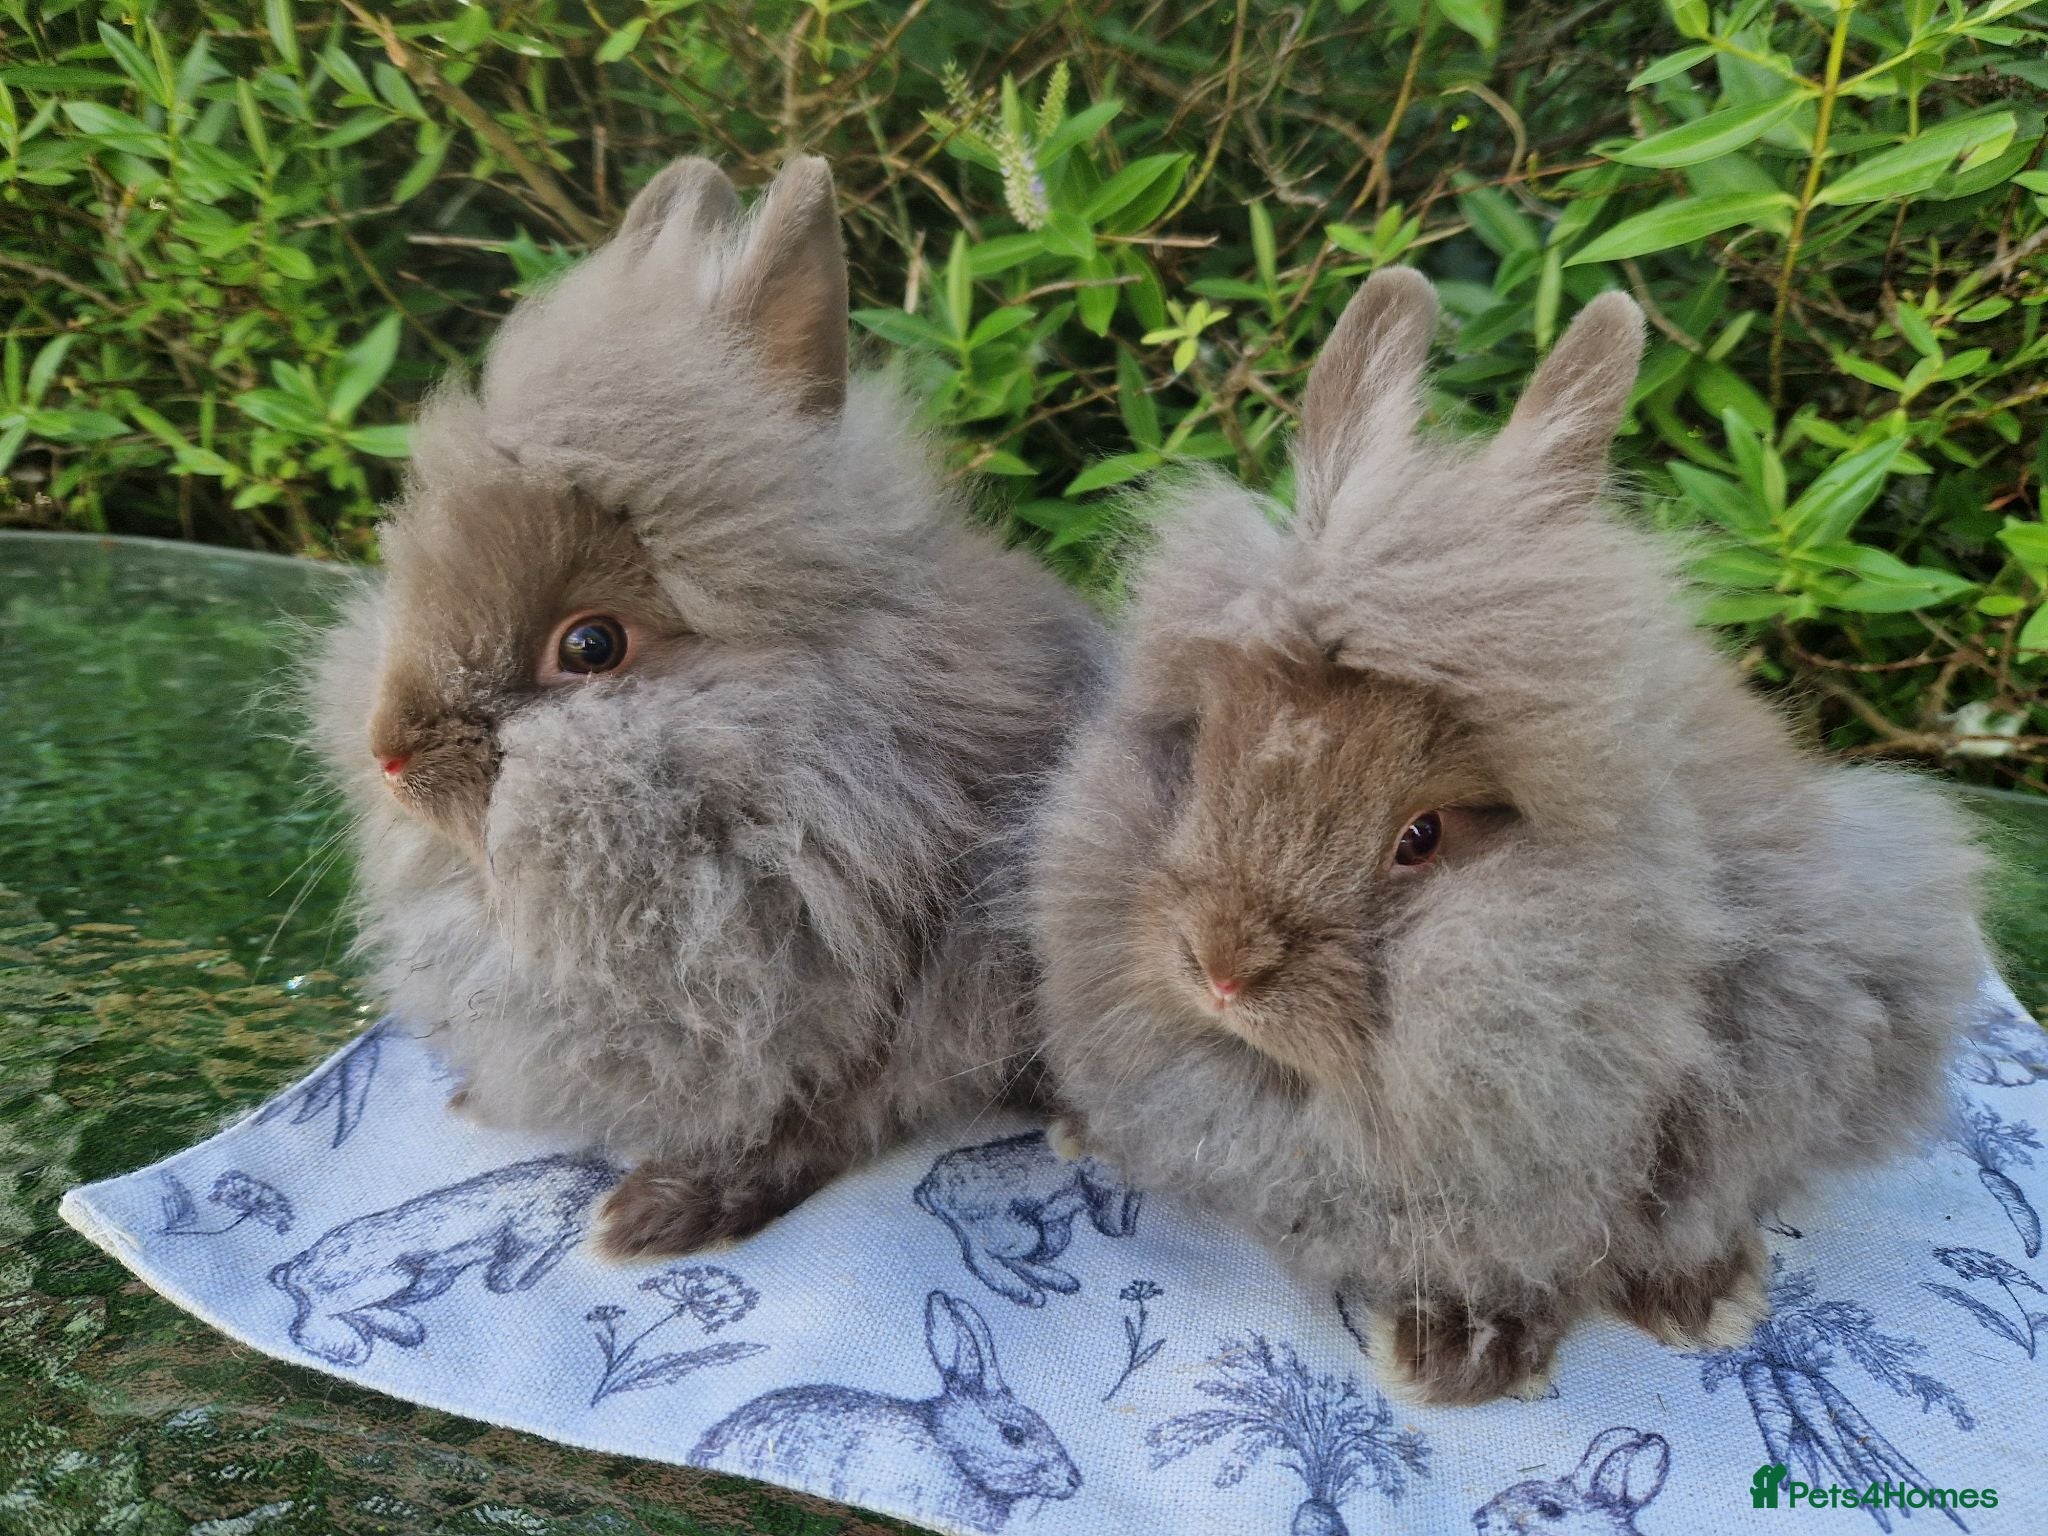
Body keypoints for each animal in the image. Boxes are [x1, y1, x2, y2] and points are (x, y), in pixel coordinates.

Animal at [307, 155, 1102, 1260]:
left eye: (590, 647)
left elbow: (811, 1117)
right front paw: (478, 1100)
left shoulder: (880, 996)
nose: (390, 756)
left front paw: (656, 1215)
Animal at [913, 1129, 1141, 1306]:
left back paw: (1058, 1281)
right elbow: (1112, 1206)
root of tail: (931, 1184)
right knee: (983, 1256)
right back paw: (1026, 1292)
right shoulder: (1100, 1176)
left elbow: (1129, 1204)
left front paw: (1127, 1226)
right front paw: (1115, 1229)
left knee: (1018, 1258)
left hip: (1053, 1233)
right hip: (1016, 1230)